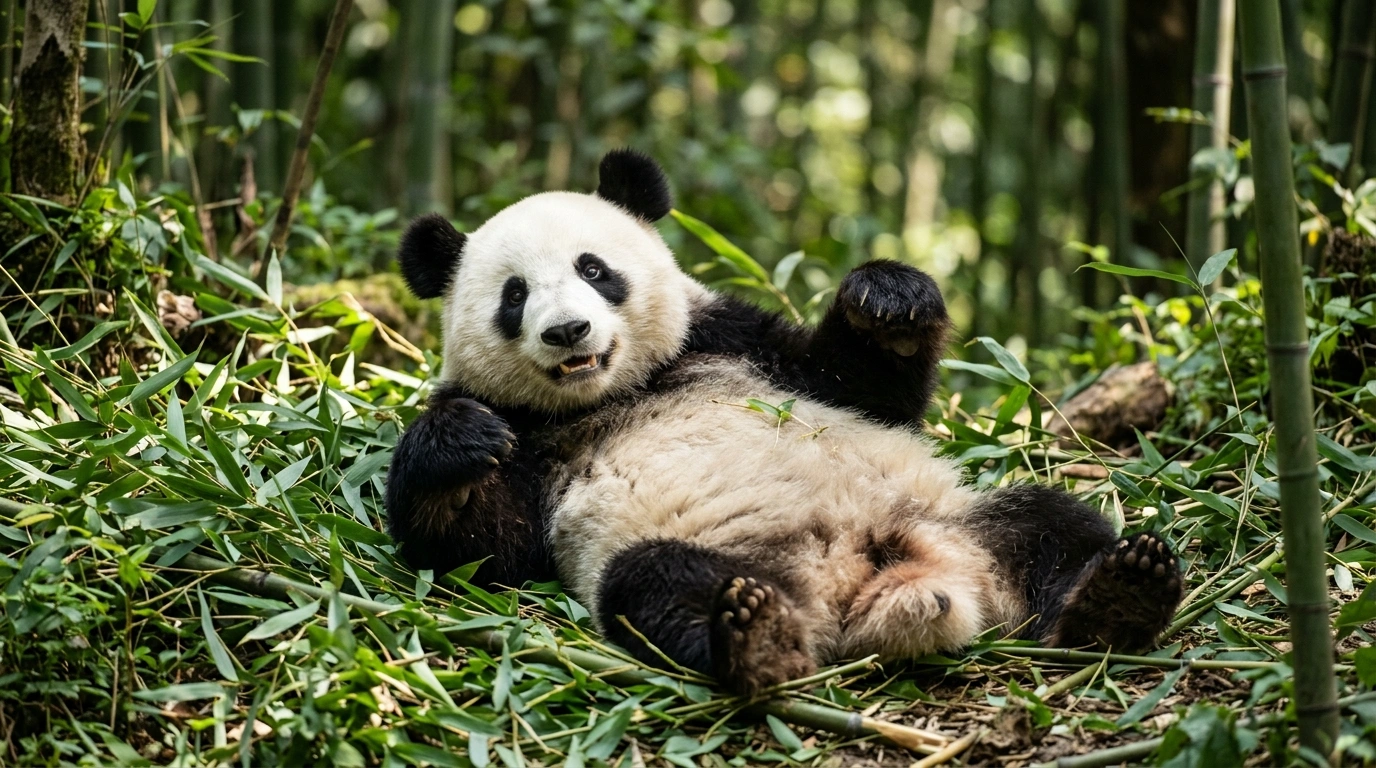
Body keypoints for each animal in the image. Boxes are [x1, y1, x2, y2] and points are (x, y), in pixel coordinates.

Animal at [384, 149, 1185, 694]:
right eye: (515, 295)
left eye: (593, 269)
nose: (568, 332)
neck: (617, 390)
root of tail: (877, 583)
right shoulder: (534, 441)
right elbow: (481, 549)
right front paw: (459, 442)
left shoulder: (734, 341)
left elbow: (866, 388)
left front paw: (887, 300)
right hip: (703, 551)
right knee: (655, 587)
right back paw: (758, 638)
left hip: (957, 517)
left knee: (1054, 523)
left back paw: (1116, 597)